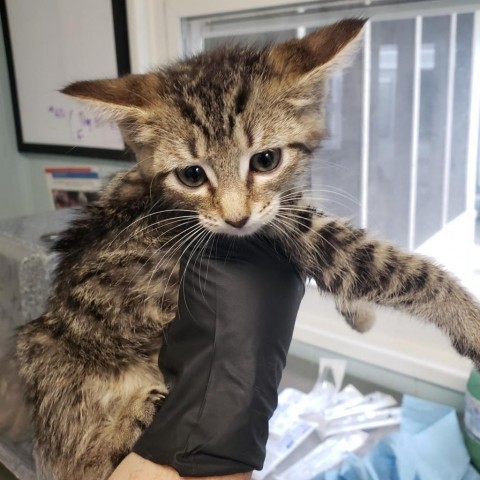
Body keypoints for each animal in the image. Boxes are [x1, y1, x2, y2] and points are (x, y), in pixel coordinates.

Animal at [13, 16, 480, 478]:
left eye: (266, 160)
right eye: (192, 175)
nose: (236, 219)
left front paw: (359, 315)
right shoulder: (296, 232)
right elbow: (388, 267)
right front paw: (467, 319)